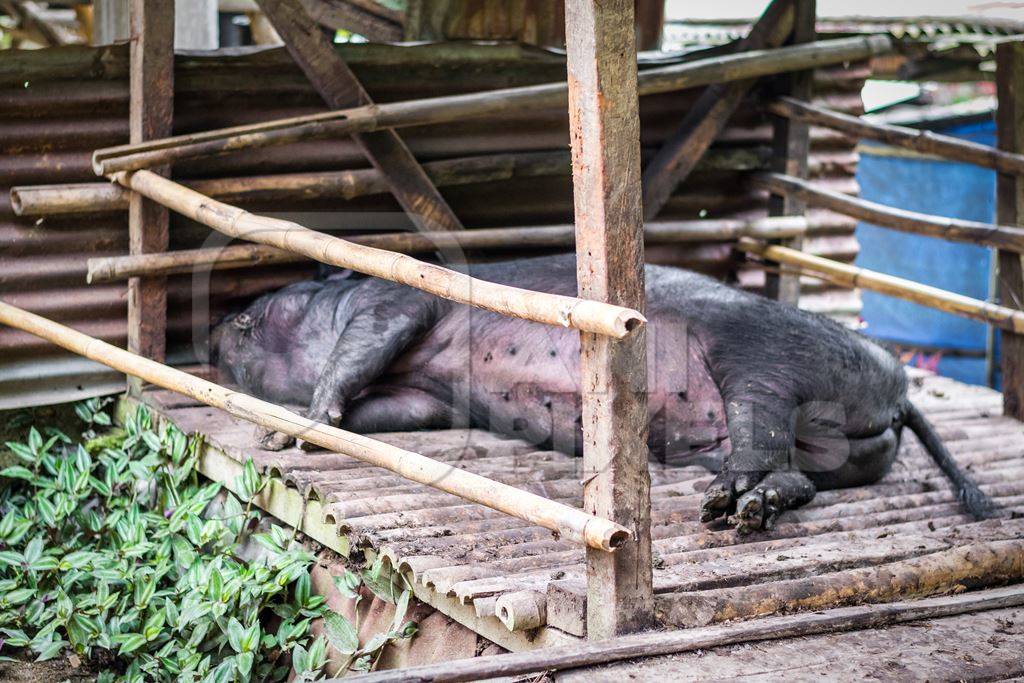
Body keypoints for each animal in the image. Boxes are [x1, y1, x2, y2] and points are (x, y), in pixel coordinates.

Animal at [211, 252, 995, 532]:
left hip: (762, 361)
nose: (214, 330)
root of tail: (897, 389)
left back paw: (725, 507)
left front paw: (280, 431)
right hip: (843, 452)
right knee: (797, 473)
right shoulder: (431, 397)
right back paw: (740, 508)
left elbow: (356, 355)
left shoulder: (398, 303)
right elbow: (388, 411)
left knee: (765, 446)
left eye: (256, 316)